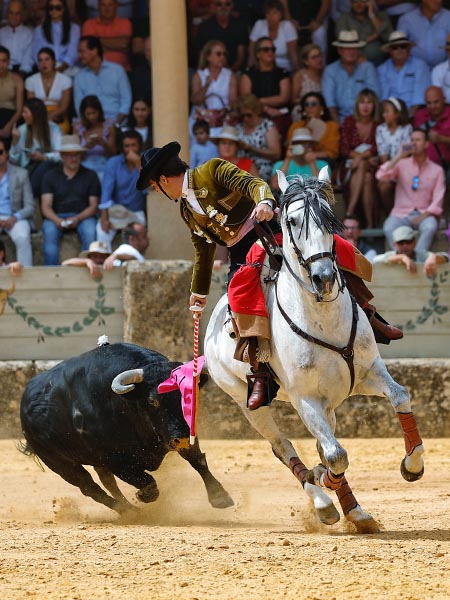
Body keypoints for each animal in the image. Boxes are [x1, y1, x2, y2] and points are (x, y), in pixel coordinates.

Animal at [19, 342, 234, 516]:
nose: (180, 437)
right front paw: (142, 495)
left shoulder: (182, 433)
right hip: (60, 464)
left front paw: (220, 496)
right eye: (152, 401)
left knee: (107, 482)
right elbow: (146, 482)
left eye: (189, 396)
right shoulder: (114, 459)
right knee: (90, 488)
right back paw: (129, 511)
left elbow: (197, 460)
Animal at [205, 169, 426, 536]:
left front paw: (412, 465)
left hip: (331, 402)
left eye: (329, 217)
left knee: (322, 444)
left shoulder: (368, 372)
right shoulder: (305, 398)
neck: (323, 318)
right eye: (292, 221)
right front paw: (323, 484)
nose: (323, 277)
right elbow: (336, 455)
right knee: (284, 447)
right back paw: (323, 501)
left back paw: (355, 512)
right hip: (246, 401)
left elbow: (400, 396)